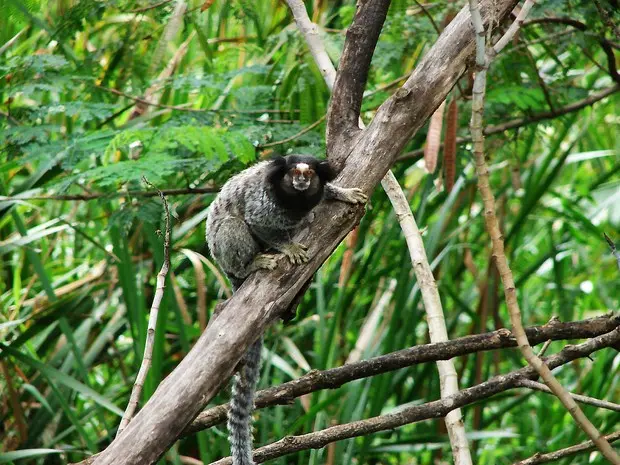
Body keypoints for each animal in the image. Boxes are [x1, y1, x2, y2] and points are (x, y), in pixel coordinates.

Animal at [203, 155, 368, 464]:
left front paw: (343, 193)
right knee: (233, 226)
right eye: (294, 173)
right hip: (225, 253)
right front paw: (288, 246)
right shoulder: (263, 204)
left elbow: (327, 193)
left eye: (310, 173)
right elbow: (256, 222)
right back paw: (251, 265)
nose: (301, 180)